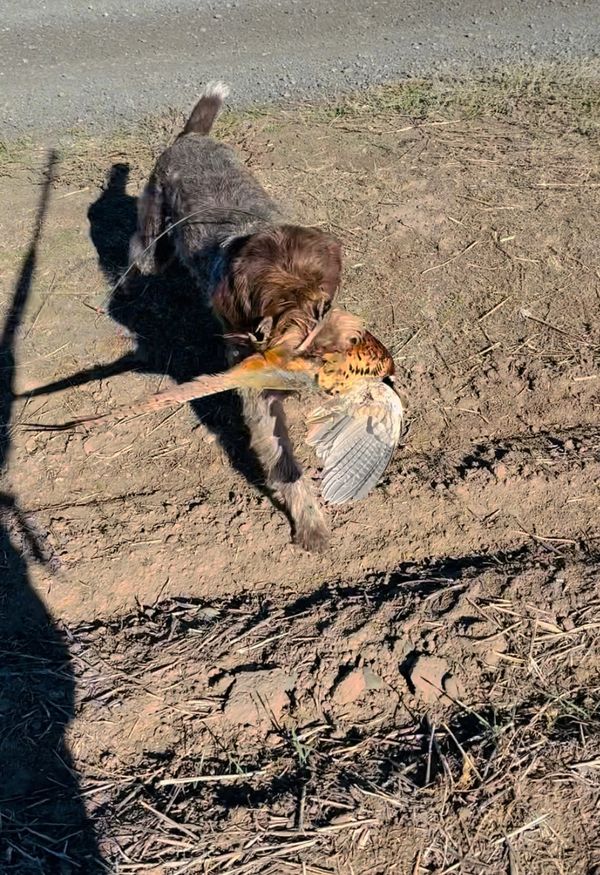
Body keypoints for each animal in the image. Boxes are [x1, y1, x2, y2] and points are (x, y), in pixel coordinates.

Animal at [131, 80, 346, 548]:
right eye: (276, 309)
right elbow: (283, 459)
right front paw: (308, 517)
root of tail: (191, 137)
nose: (309, 344)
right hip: (153, 223)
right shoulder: (255, 387)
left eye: (320, 298)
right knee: (142, 251)